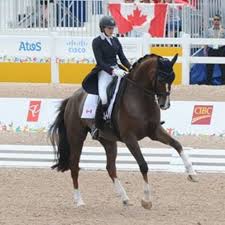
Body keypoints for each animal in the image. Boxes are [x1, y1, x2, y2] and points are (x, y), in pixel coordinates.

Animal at [49, 53, 197, 210]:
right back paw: (79, 201)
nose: (165, 104)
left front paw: (192, 173)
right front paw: (146, 200)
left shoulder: (155, 132)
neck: (140, 97)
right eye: (161, 78)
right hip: (76, 136)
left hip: (108, 141)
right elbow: (143, 165)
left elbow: (177, 145)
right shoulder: (129, 138)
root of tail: (72, 99)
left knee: (110, 168)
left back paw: (125, 198)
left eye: (173, 78)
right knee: (74, 166)